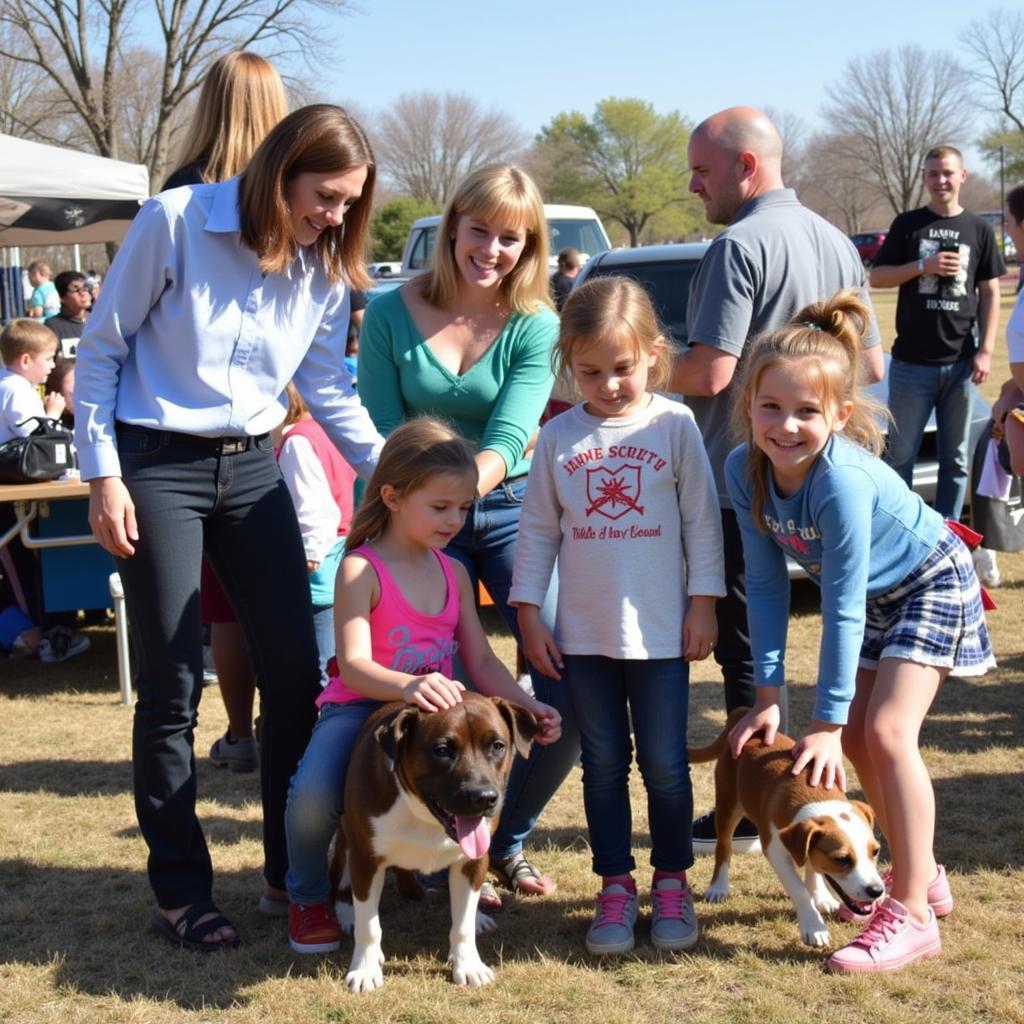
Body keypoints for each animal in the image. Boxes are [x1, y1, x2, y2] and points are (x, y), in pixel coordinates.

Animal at [329, 688, 536, 991]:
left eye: (498, 746)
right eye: (442, 750)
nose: (484, 797)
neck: (423, 813)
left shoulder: (474, 860)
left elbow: (462, 924)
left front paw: (468, 964)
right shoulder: (366, 858)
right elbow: (369, 924)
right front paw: (365, 968)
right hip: (346, 843)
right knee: (341, 881)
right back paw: (347, 913)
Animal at [692, 708, 884, 946]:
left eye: (875, 852)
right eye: (841, 859)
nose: (877, 891)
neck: (815, 796)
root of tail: (743, 715)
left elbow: (813, 869)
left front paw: (821, 896)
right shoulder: (775, 850)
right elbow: (799, 889)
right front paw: (814, 926)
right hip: (728, 802)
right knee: (723, 846)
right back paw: (718, 887)